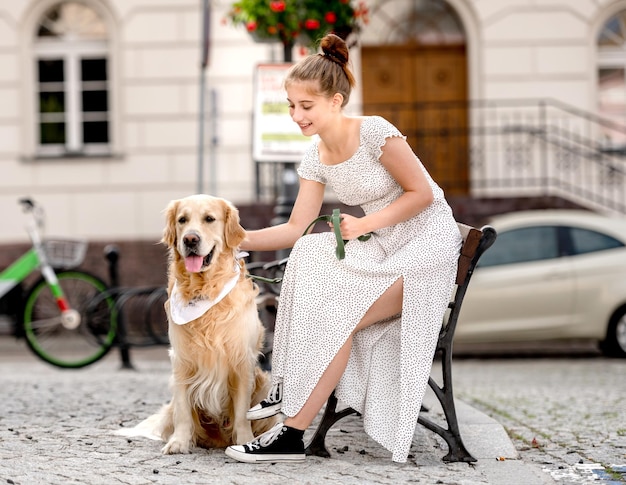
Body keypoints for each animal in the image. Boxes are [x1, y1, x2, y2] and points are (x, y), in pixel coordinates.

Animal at [149, 195, 276, 452]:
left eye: (209, 219)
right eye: (182, 220)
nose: (190, 239)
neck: (204, 289)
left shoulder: (241, 360)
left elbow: (242, 412)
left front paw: (245, 440)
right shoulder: (181, 359)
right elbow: (183, 411)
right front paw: (179, 442)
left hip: (263, 384)